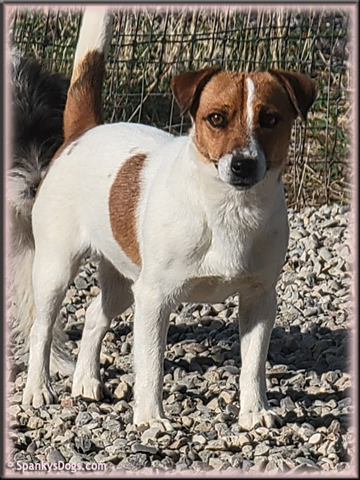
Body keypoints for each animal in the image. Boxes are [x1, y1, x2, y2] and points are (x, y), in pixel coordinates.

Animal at [19, 8, 316, 432]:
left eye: (271, 119)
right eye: (216, 118)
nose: (243, 164)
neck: (226, 210)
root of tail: (83, 131)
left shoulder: (259, 299)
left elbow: (253, 365)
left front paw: (254, 412)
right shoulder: (154, 299)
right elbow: (150, 366)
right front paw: (150, 417)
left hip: (123, 282)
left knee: (94, 315)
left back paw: (86, 380)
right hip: (57, 270)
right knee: (41, 329)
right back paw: (38, 389)